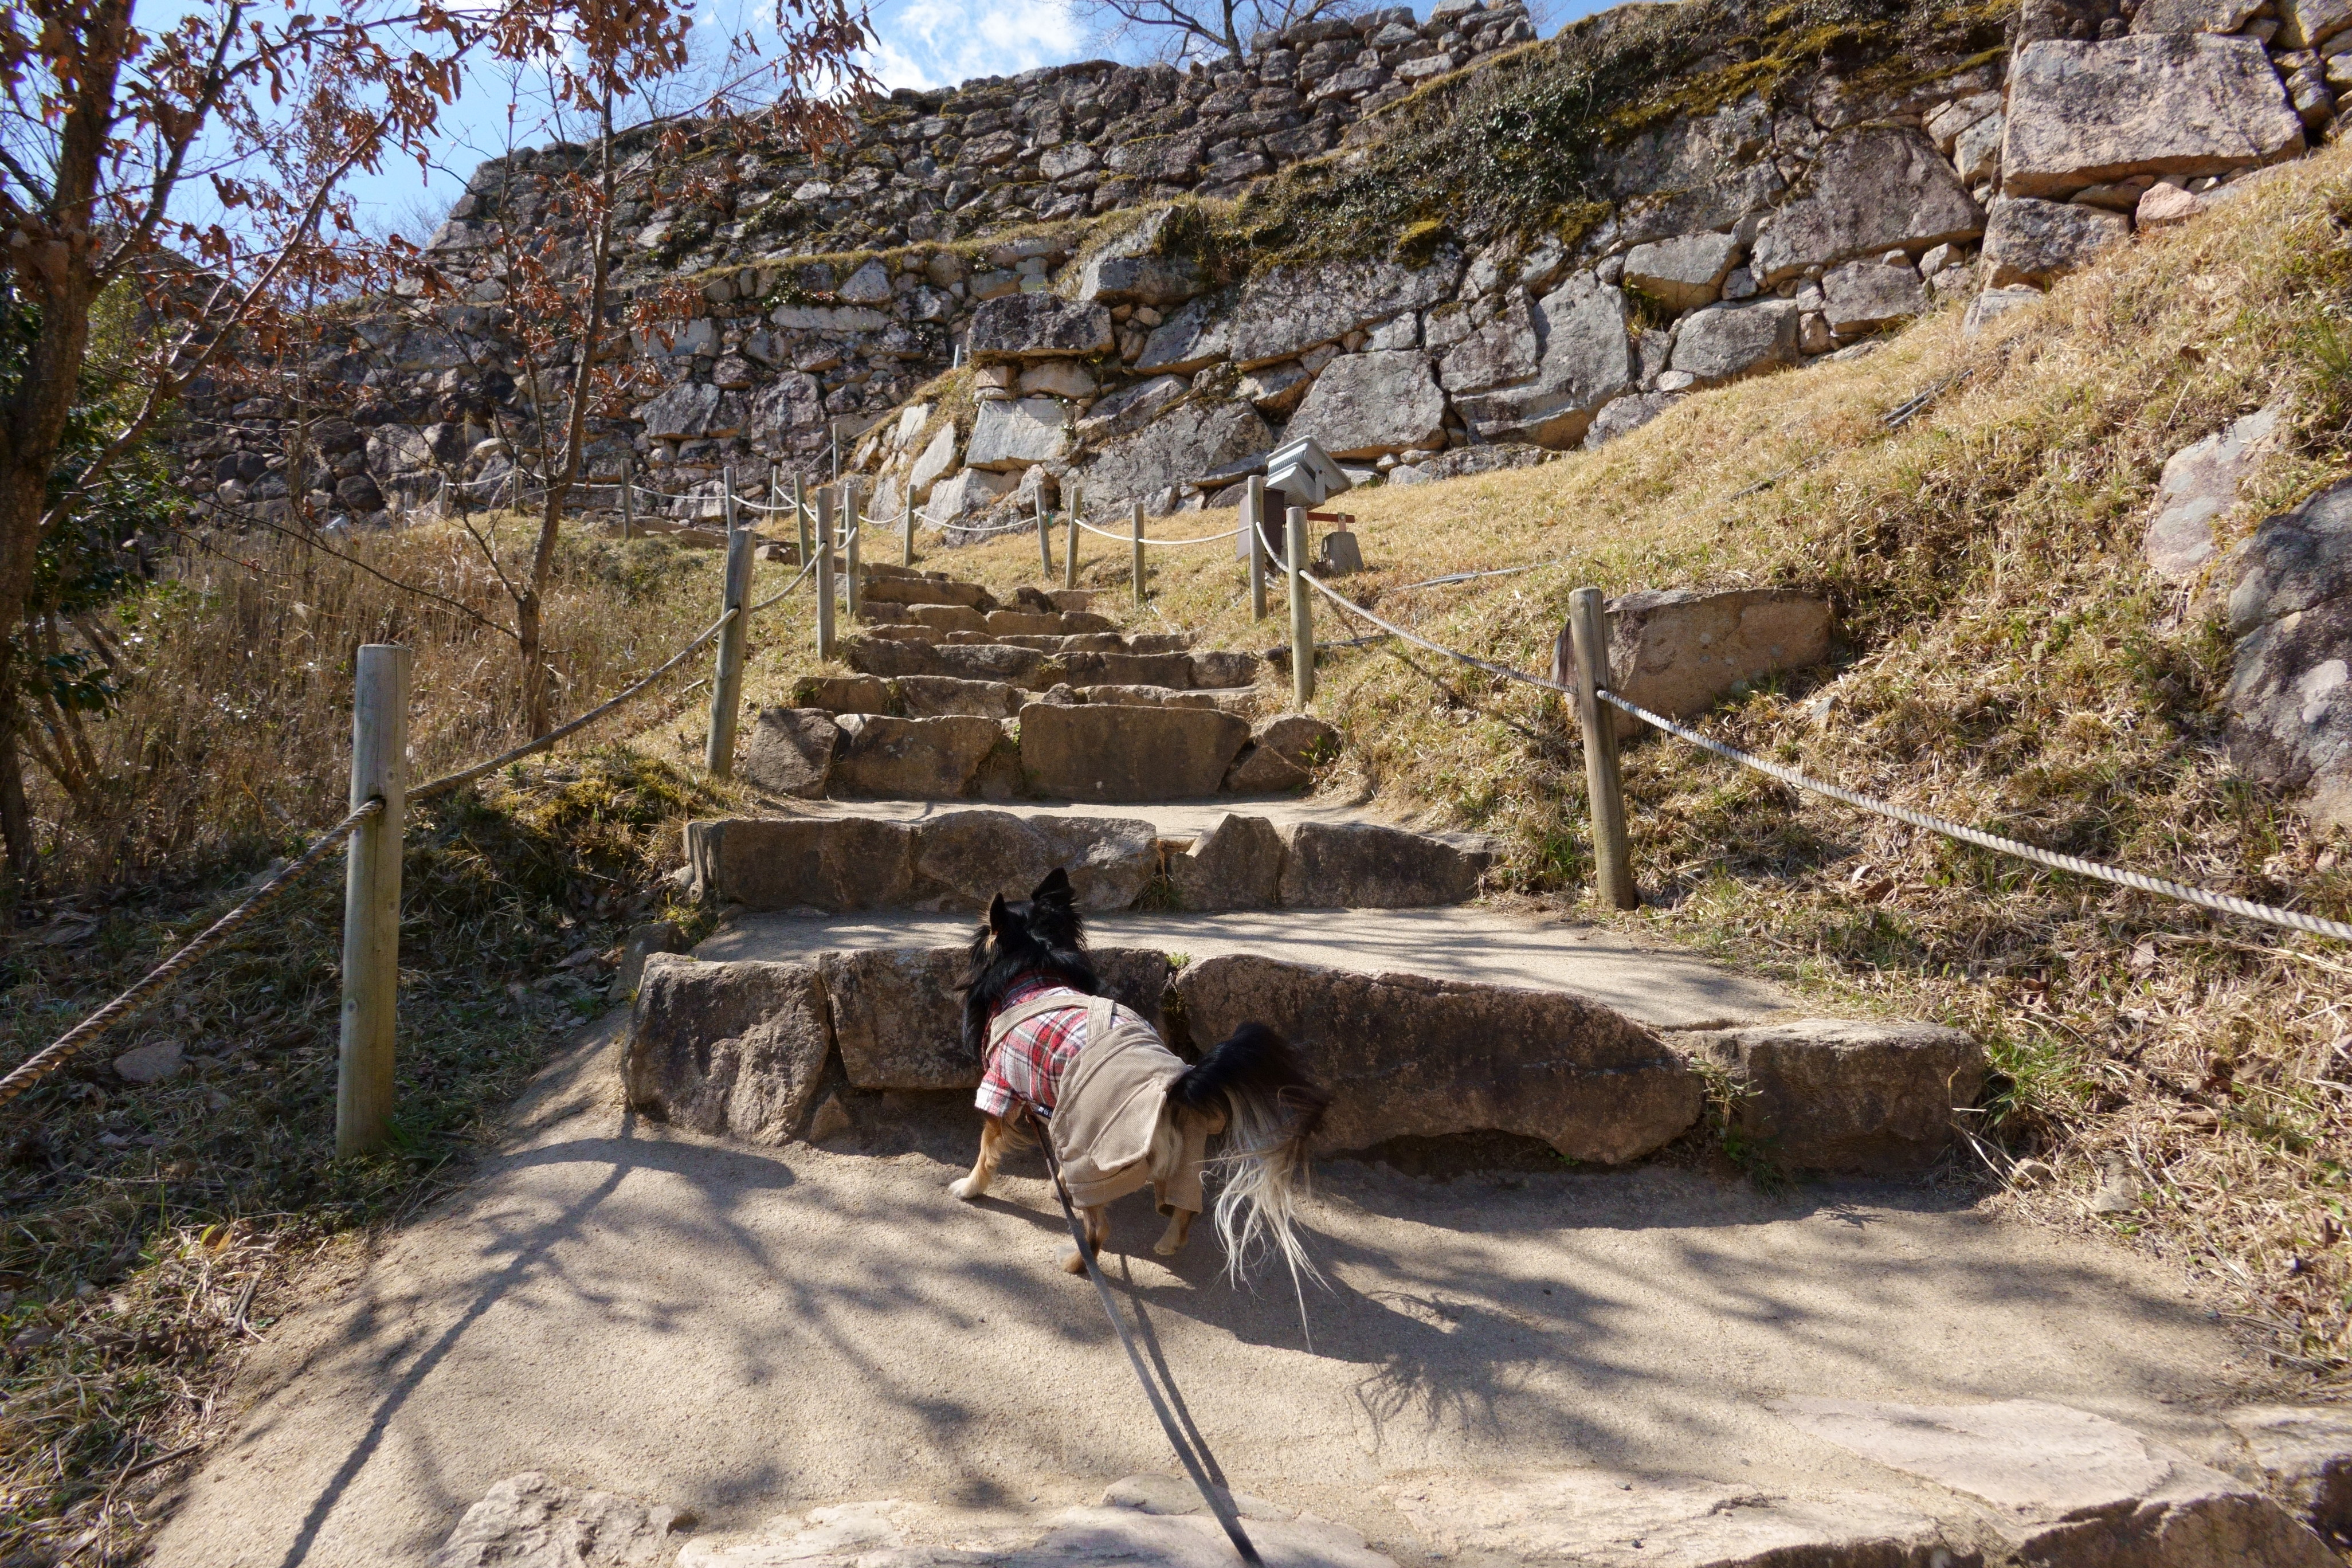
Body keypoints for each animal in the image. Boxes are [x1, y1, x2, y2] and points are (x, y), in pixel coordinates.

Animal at [950, 865, 1336, 1279]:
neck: (1035, 967)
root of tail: (1175, 1083)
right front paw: (1058, 1187)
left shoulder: (1000, 1087)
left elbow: (986, 1149)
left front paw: (970, 1187)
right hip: (1183, 1149)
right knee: (1185, 1204)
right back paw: (1169, 1242)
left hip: (1091, 1147)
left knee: (1098, 1228)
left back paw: (1076, 1261)